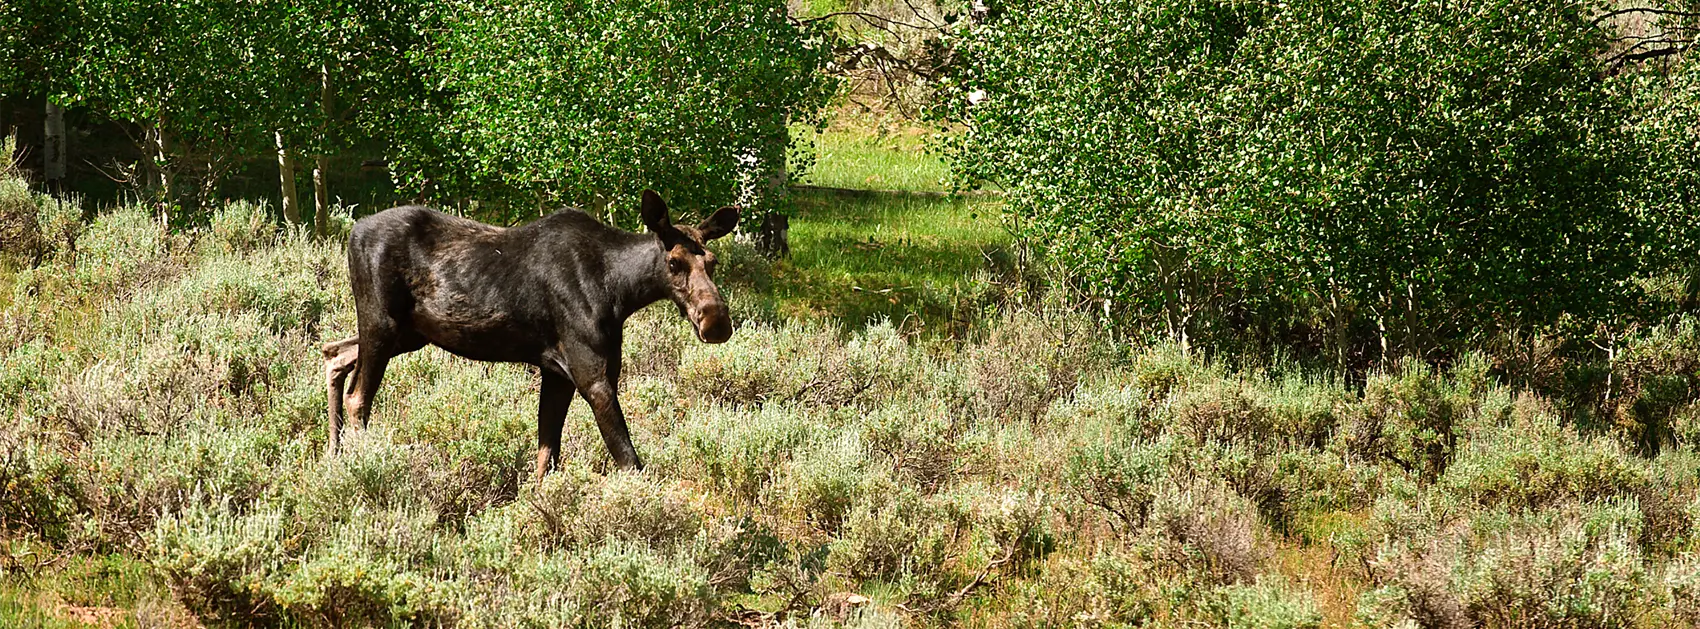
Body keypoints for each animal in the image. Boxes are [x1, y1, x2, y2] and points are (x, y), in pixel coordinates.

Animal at [324, 191, 737, 482]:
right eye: (673, 262)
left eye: (713, 262)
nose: (716, 321)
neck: (619, 291)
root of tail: (352, 233)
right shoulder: (592, 375)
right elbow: (630, 462)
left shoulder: (557, 373)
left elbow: (546, 458)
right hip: (381, 323)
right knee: (358, 397)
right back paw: (360, 465)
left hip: (410, 334)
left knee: (334, 354)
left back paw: (334, 456)